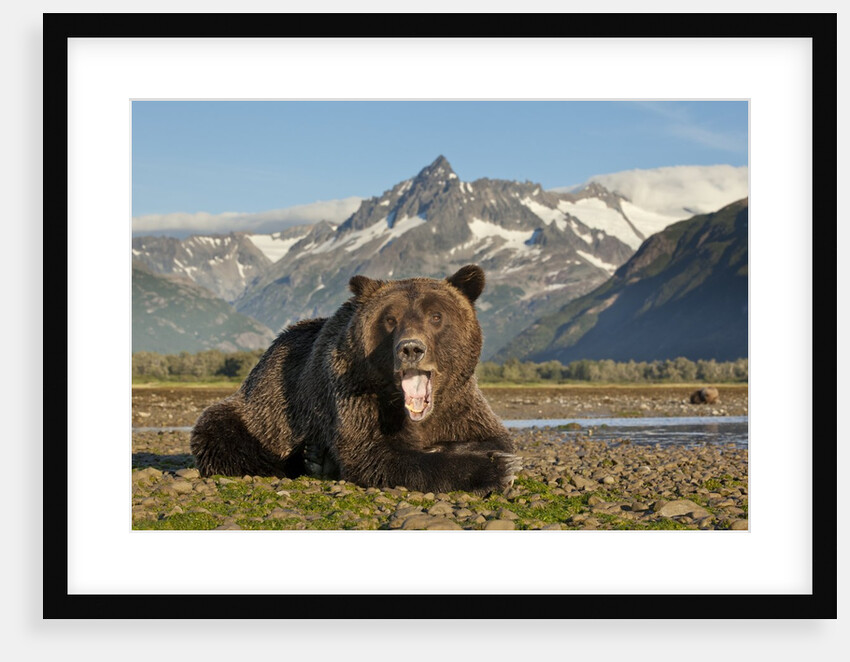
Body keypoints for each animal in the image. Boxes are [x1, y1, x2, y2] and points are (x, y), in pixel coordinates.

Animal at [189, 264, 520, 495]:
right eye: (390, 319)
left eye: (436, 316)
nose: (411, 348)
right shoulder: (354, 395)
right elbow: (374, 455)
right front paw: (496, 468)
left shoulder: (460, 403)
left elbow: (494, 436)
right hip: (260, 411)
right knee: (222, 435)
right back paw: (311, 460)